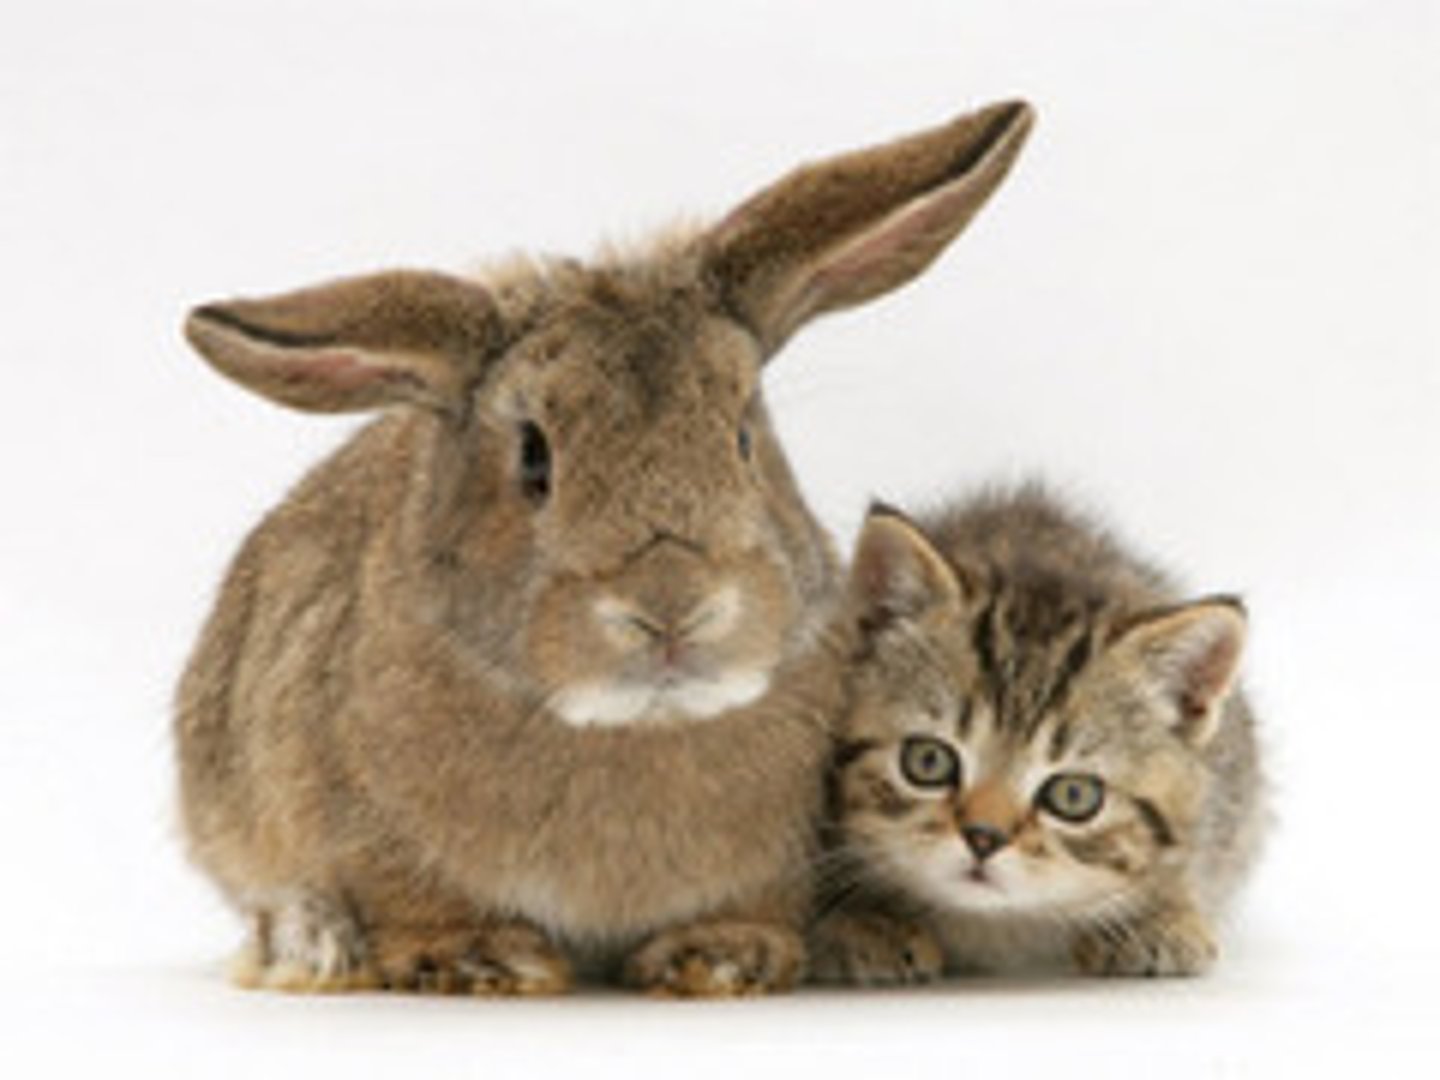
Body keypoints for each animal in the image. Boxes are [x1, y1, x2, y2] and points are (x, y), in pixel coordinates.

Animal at [176, 100, 1034, 997]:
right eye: (534, 457)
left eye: (742, 436)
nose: (672, 608)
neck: (639, 723)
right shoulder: (365, 835)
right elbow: (410, 902)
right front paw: (484, 959)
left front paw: (725, 955)